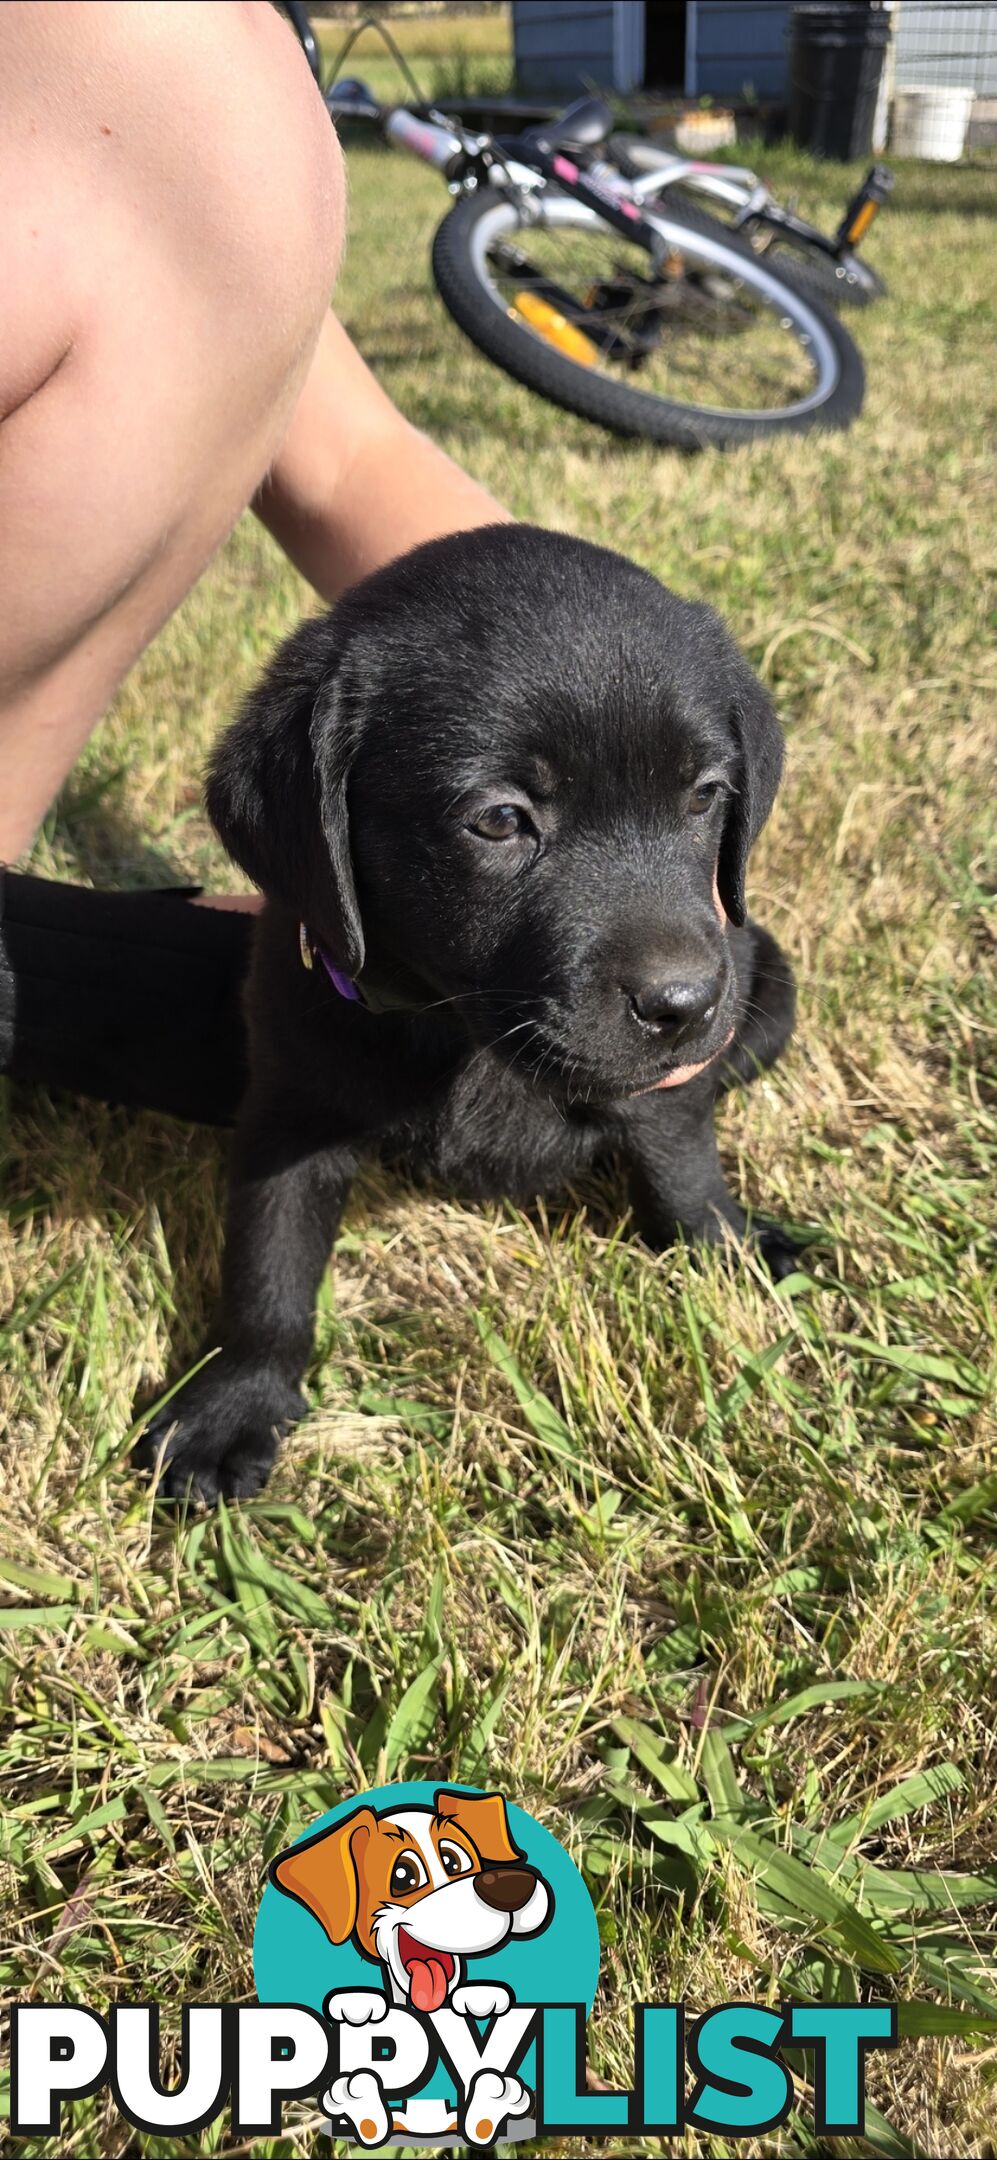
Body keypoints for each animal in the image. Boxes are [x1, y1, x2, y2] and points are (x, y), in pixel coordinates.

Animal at [136, 524, 798, 1503]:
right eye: (498, 819)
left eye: (705, 794)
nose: (683, 1005)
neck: (464, 1033)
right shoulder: (291, 1106)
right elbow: (268, 1265)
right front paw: (232, 1404)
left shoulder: (669, 1079)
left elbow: (683, 1167)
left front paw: (730, 1251)